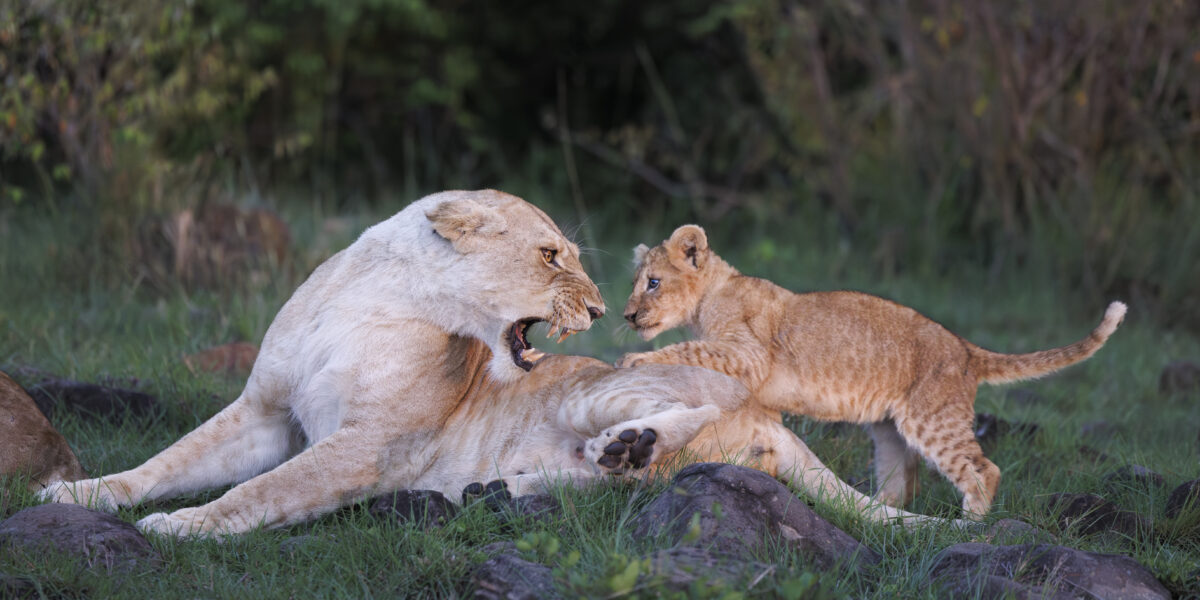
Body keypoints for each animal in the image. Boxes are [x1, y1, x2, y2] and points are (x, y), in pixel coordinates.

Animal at [38, 189, 609, 536]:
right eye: (549, 255)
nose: (600, 310)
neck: (386, 293)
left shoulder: (369, 445)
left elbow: (261, 489)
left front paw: (183, 524)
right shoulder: (266, 412)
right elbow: (168, 461)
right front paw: (77, 492)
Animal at [619, 224, 1126, 519]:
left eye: (653, 283)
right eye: (635, 283)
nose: (627, 316)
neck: (710, 296)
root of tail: (965, 349)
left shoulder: (749, 354)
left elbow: (689, 350)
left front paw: (634, 362)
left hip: (933, 418)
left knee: (985, 470)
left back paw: (969, 528)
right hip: (890, 429)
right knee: (901, 482)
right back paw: (874, 514)